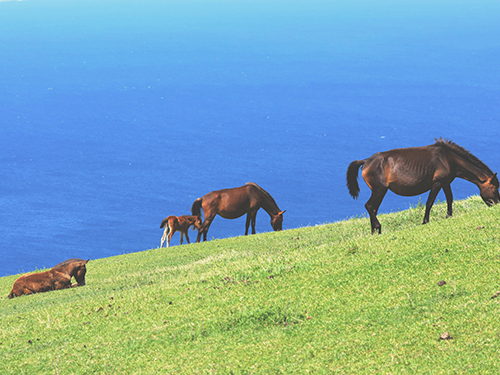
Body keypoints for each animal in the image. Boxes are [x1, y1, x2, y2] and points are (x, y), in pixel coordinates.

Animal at [348, 140, 500, 235]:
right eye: (494, 188)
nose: (497, 203)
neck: (449, 158)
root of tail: (366, 161)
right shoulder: (437, 183)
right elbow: (429, 202)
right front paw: (425, 221)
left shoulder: (446, 182)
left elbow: (450, 199)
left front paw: (449, 216)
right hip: (379, 190)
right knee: (369, 206)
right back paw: (378, 228)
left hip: (379, 191)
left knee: (373, 208)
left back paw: (374, 231)